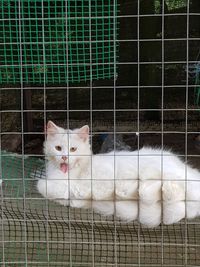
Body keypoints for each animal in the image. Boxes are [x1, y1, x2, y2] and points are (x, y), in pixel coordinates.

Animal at [36, 121, 200, 228]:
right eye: (58, 148)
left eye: (73, 149)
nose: (64, 157)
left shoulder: (65, 186)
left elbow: (41, 185)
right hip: (140, 210)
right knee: (173, 211)